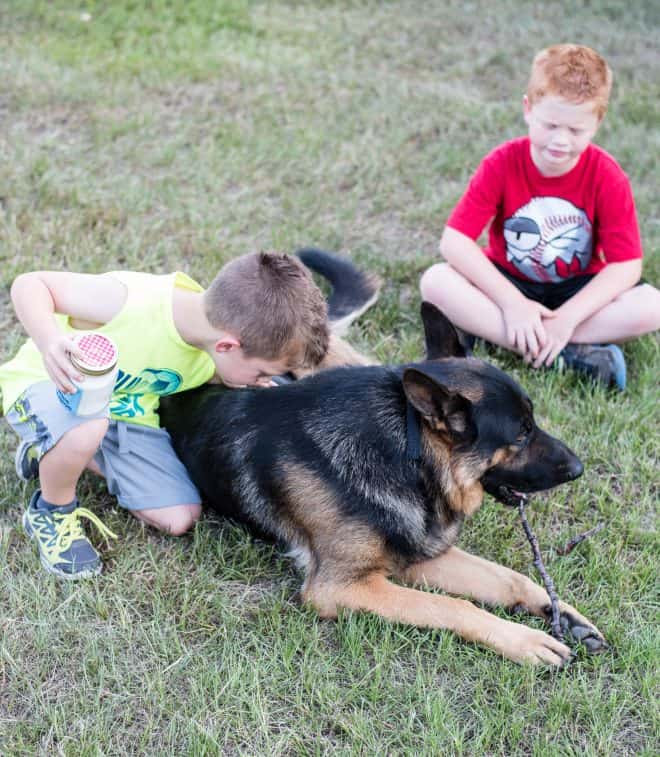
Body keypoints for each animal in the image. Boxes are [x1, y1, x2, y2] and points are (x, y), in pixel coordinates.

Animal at [161, 251, 608, 664]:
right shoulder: (343, 586)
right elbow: (453, 605)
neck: (405, 456)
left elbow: (509, 578)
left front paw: (560, 613)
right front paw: (525, 640)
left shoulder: (418, 554)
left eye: (532, 421)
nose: (579, 469)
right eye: (521, 432)